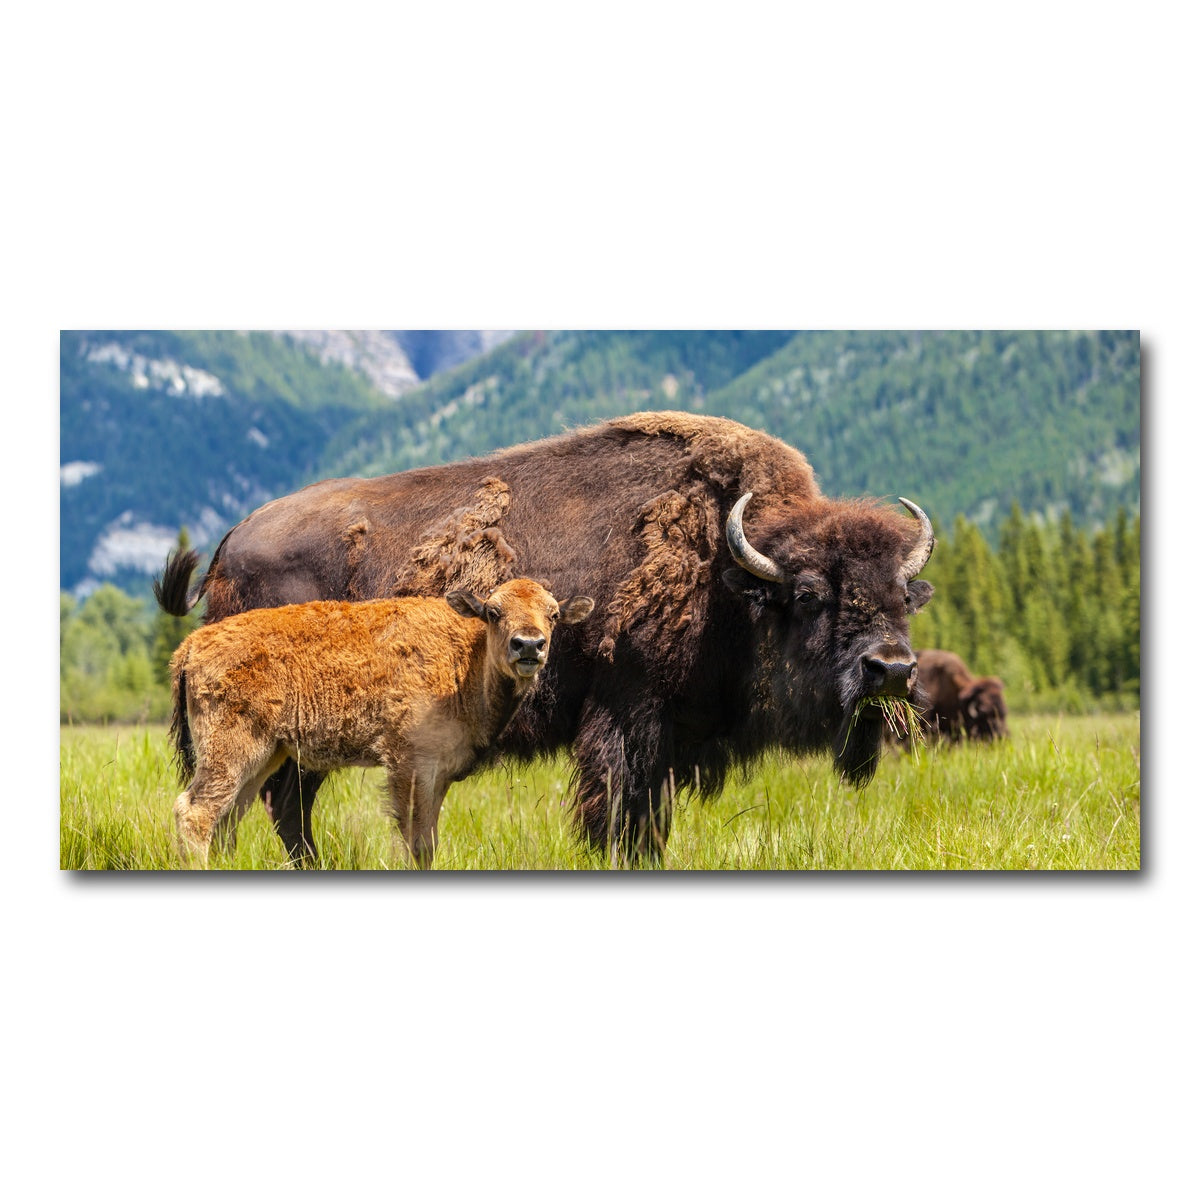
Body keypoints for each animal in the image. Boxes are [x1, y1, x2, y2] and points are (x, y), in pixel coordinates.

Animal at [168, 578, 594, 867]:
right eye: (493, 612)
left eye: (554, 614)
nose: (529, 645)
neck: (465, 660)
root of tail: (191, 645)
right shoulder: (409, 765)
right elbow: (415, 840)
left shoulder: (438, 773)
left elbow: (428, 839)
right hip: (230, 752)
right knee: (196, 812)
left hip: (263, 756)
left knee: (229, 816)